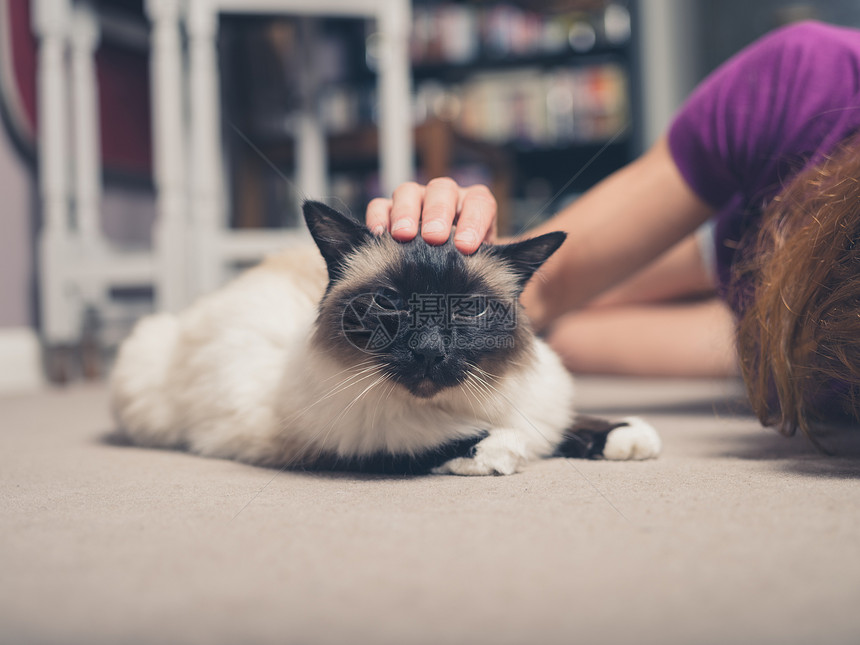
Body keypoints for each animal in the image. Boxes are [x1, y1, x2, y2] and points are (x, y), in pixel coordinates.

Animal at [107, 201, 660, 472]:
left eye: (469, 308)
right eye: (389, 303)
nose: (430, 351)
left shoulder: (540, 409)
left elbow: (561, 425)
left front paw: (628, 437)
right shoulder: (346, 442)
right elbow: (452, 440)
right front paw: (503, 452)